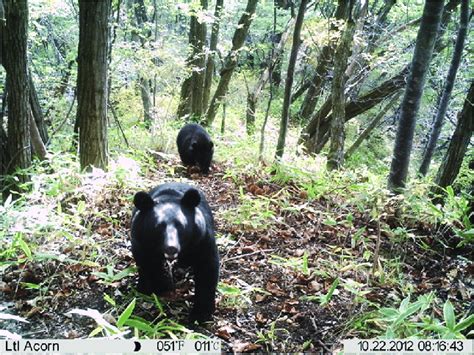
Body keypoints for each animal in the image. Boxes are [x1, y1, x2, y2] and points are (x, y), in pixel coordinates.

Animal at [130, 182, 218, 324]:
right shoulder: (141, 241)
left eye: (181, 226)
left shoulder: (202, 239)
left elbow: (207, 269)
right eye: (158, 227)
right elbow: (149, 264)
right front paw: (161, 288)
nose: (171, 248)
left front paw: (200, 314)